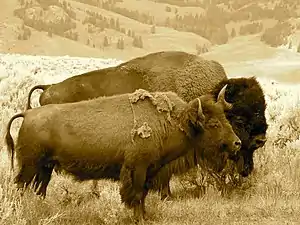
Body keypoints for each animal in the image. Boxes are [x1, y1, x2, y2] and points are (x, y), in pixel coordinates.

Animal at [4, 86, 240, 221]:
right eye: (213, 124)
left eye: (226, 118)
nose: (236, 143)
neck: (173, 121)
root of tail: (28, 113)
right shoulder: (137, 170)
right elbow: (135, 195)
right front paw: (139, 219)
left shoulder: (149, 171)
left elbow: (142, 196)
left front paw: (145, 217)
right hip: (30, 166)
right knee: (20, 187)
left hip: (45, 167)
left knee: (39, 189)